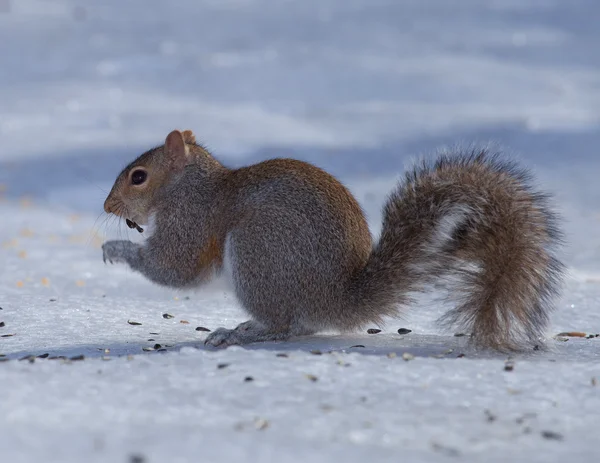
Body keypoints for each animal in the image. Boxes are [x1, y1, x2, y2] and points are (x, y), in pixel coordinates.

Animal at [101, 129, 564, 354]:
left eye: (138, 177)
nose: (107, 206)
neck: (188, 185)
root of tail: (334, 297)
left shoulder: (192, 221)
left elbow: (175, 269)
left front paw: (115, 251)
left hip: (257, 249)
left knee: (284, 328)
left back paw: (239, 334)